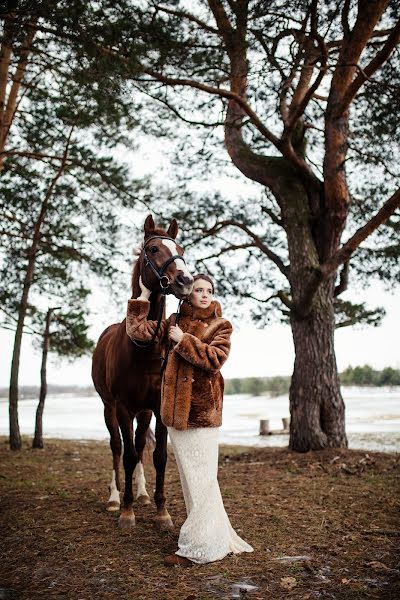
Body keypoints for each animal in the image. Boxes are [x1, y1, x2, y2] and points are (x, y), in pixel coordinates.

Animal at [92, 214, 195, 528]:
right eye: (153, 249)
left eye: (181, 249)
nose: (185, 281)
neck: (141, 348)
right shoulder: (123, 407)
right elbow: (125, 455)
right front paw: (126, 511)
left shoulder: (157, 408)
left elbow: (158, 455)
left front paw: (161, 510)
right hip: (109, 408)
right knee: (117, 447)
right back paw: (115, 498)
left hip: (144, 412)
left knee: (138, 446)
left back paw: (142, 494)